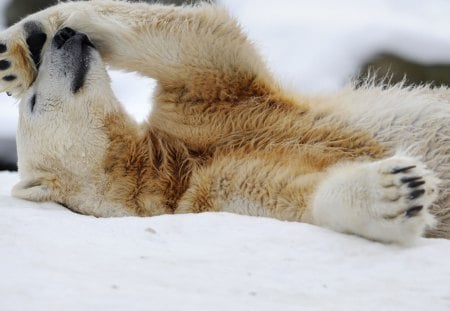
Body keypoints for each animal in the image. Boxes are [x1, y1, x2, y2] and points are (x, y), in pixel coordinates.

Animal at [0, 0, 448, 244]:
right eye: (36, 103)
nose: (65, 40)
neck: (169, 165)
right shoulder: (211, 192)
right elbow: (294, 195)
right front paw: (397, 189)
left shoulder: (208, 112)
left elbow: (199, 44)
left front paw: (22, 46)